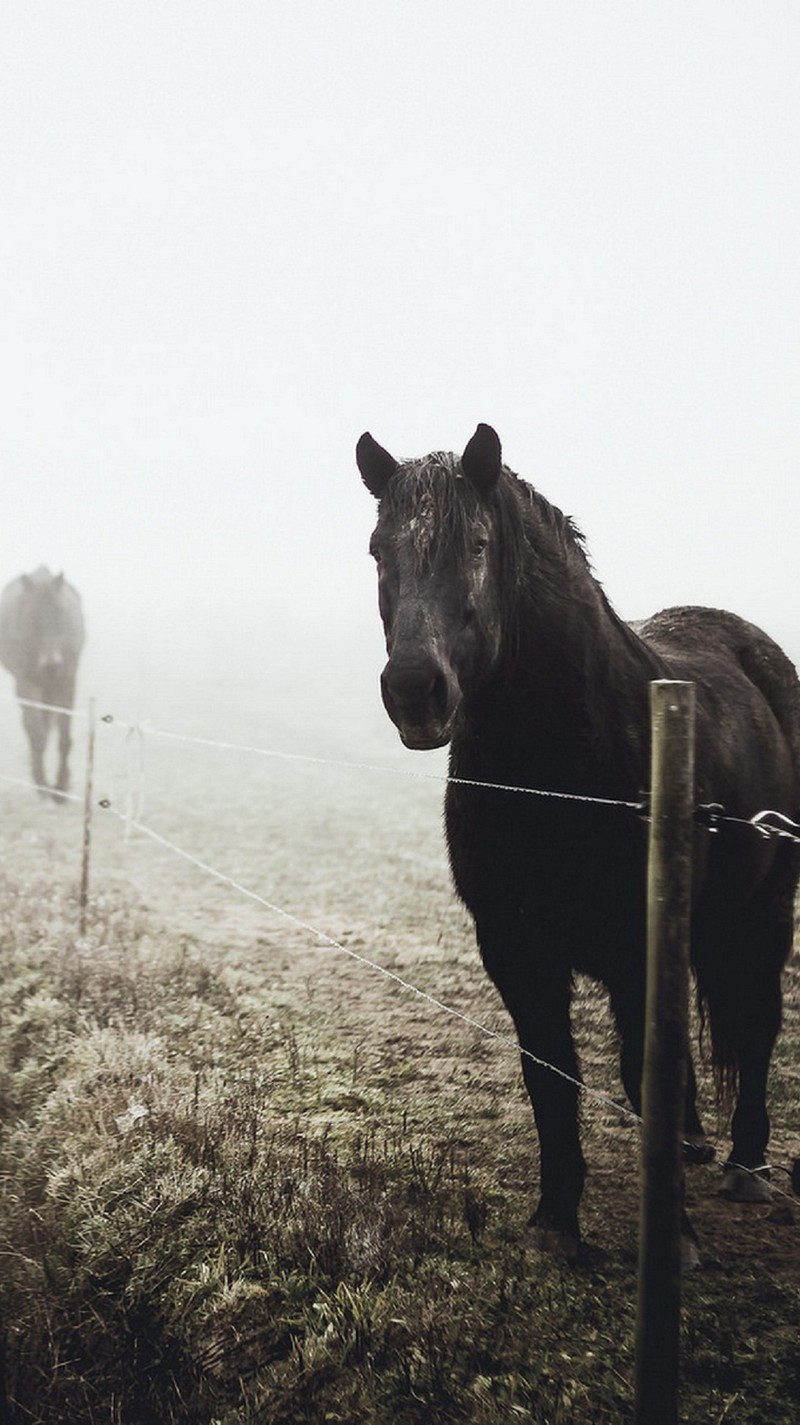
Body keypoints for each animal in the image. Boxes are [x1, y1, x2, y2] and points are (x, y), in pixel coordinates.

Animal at [0, 567, 85, 803]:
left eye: (61, 613)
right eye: (32, 615)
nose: (51, 664)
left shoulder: (66, 682)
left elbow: (64, 738)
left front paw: (62, 787)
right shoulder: (27, 684)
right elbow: (37, 734)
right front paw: (44, 788)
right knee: (33, 729)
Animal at [359, 421, 798, 1259]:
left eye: (478, 543)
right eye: (376, 548)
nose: (414, 692)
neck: (560, 771)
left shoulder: (635, 943)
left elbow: (638, 1068)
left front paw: (674, 1236)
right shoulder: (514, 944)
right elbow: (551, 1073)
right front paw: (556, 1221)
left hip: (766, 908)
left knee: (757, 1020)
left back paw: (748, 1164)